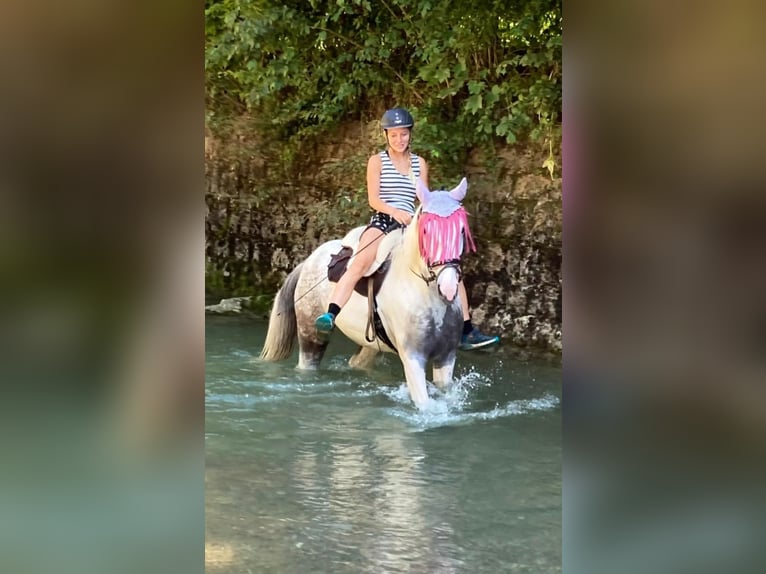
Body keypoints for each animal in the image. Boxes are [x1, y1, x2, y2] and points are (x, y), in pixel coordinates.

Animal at [264, 179, 480, 410]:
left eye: (461, 231)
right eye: (425, 232)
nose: (447, 288)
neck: (426, 295)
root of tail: (309, 260)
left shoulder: (445, 358)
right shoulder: (413, 359)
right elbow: (424, 405)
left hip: (370, 342)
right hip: (310, 335)